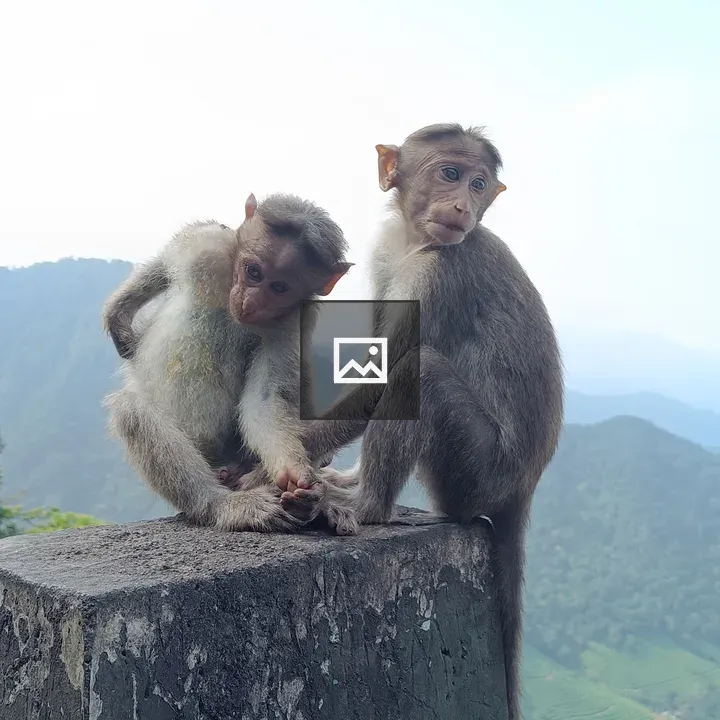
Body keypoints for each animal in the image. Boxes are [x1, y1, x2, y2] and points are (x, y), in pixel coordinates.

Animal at [103, 193, 354, 532]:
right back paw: (221, 504)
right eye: (253, 271)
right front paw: (118, 314)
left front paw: (294, 472)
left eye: (279, 288)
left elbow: (265, 399)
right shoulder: (209, 247)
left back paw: (315, 502)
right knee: (132, 411)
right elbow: (164, 264)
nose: (250, 302)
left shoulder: (291, 323)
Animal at [277, 124, 564, 719]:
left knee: (422, 373)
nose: (463, 205)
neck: (418, 243)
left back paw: (367, 507)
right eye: (450, 174)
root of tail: (524, 485)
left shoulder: (439, 275)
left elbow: (386, 379)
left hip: (477, 470)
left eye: (479, 184)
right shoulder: (388, 257)